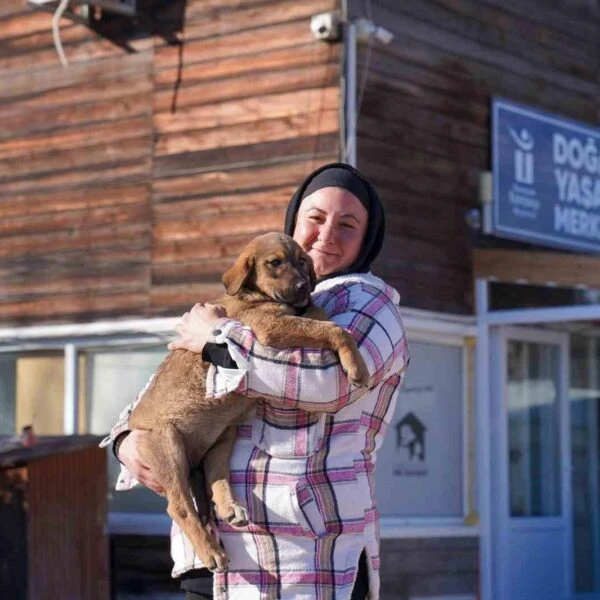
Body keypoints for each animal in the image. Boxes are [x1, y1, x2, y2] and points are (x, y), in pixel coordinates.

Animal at [129, 231, 368, 572]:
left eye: (302, 261)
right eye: (274, 263)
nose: (303, 287)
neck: (257, 295)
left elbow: (322, 318)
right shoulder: (271, 327)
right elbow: (334, 328)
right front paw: (357, 366)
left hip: (222, 437)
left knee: (215, 478)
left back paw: (230, 509)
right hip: (168, 444)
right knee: (180, 507)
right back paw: (211, 552)